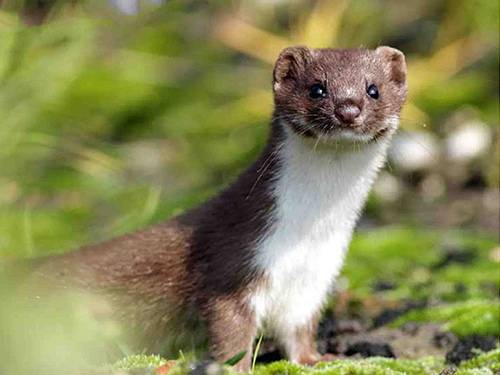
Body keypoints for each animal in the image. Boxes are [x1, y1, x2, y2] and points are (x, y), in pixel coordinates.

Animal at [24, 45, 406, 372]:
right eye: (317, 89)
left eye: (373, 90)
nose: (348, 110)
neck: (308, 233)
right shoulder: (235, 260)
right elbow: (229, 328)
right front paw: (236, 367)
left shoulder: (313, 280)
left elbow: (299, 331)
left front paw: (319, 359)